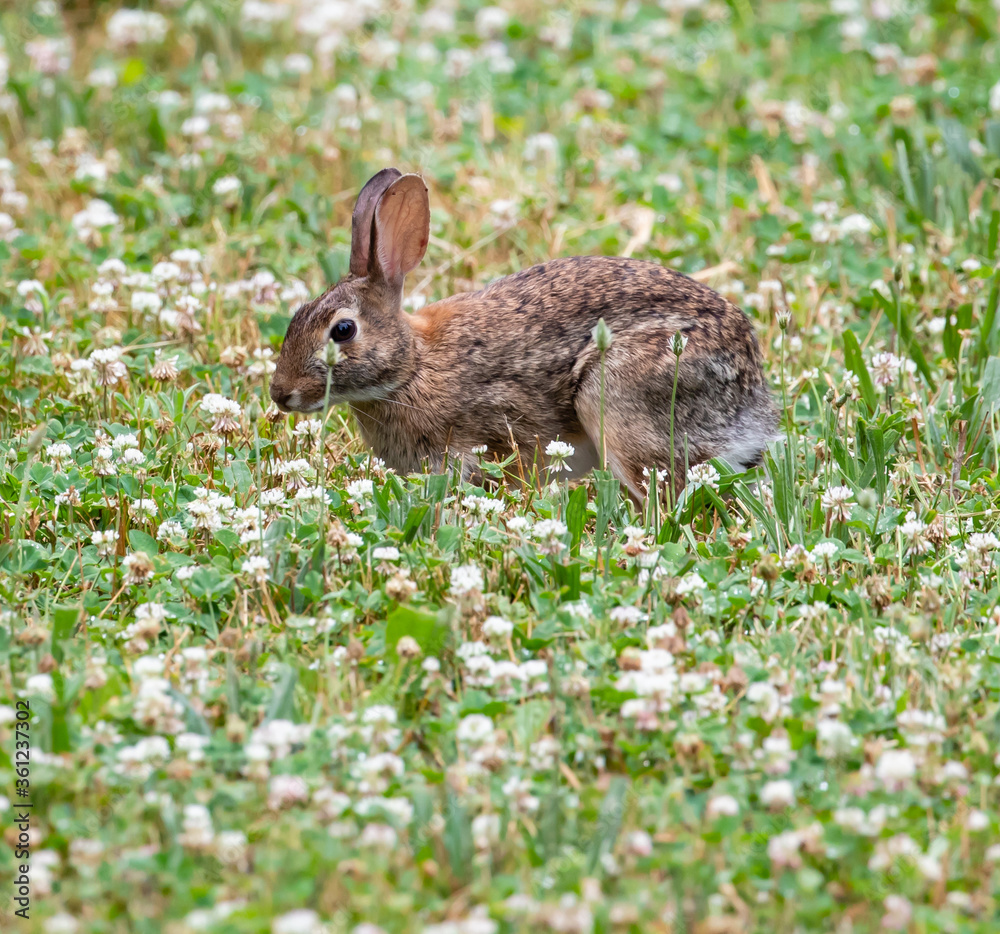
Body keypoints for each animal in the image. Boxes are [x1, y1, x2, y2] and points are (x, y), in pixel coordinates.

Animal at [270, 167, 778, 500]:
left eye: (343, 330)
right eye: (296, 316)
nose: (280, 394)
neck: (411, 367)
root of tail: (752, 397)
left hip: (617, 399)